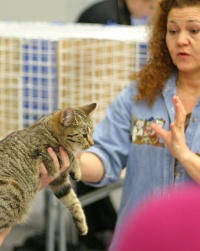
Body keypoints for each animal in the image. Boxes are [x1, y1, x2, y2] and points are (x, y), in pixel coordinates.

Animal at [0, 102, 97, 235]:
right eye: (84, 135)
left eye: (91, 133)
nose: (92, 143)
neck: (49, 131)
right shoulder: (48, 152)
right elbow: (70, 155)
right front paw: (77, 170)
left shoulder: (59, 181)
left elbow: (72, 200)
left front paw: (81, 224)